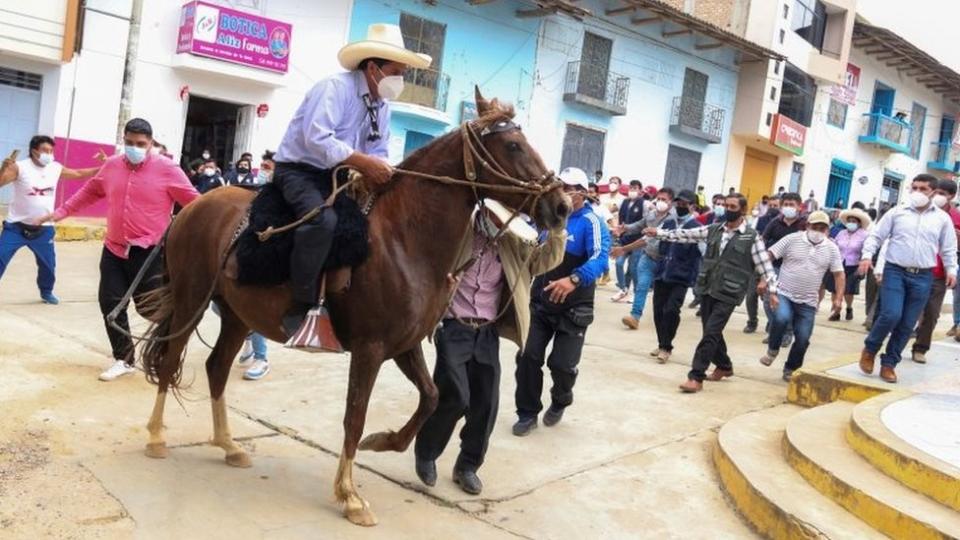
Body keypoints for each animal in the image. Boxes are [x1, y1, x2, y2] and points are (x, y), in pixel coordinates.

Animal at [139, 90, 568, 524]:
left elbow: (431, 397)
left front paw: (383, 441)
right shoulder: (370, 349)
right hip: (192, 299)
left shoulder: (405, 345)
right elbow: (355, 416)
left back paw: (228, 445)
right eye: (512, 145)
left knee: (217, 368)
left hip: (238, 315)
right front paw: (350, 495)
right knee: (171, 359)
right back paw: (156, 437)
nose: (561, 205)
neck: (404, 239)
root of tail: (193, 206)